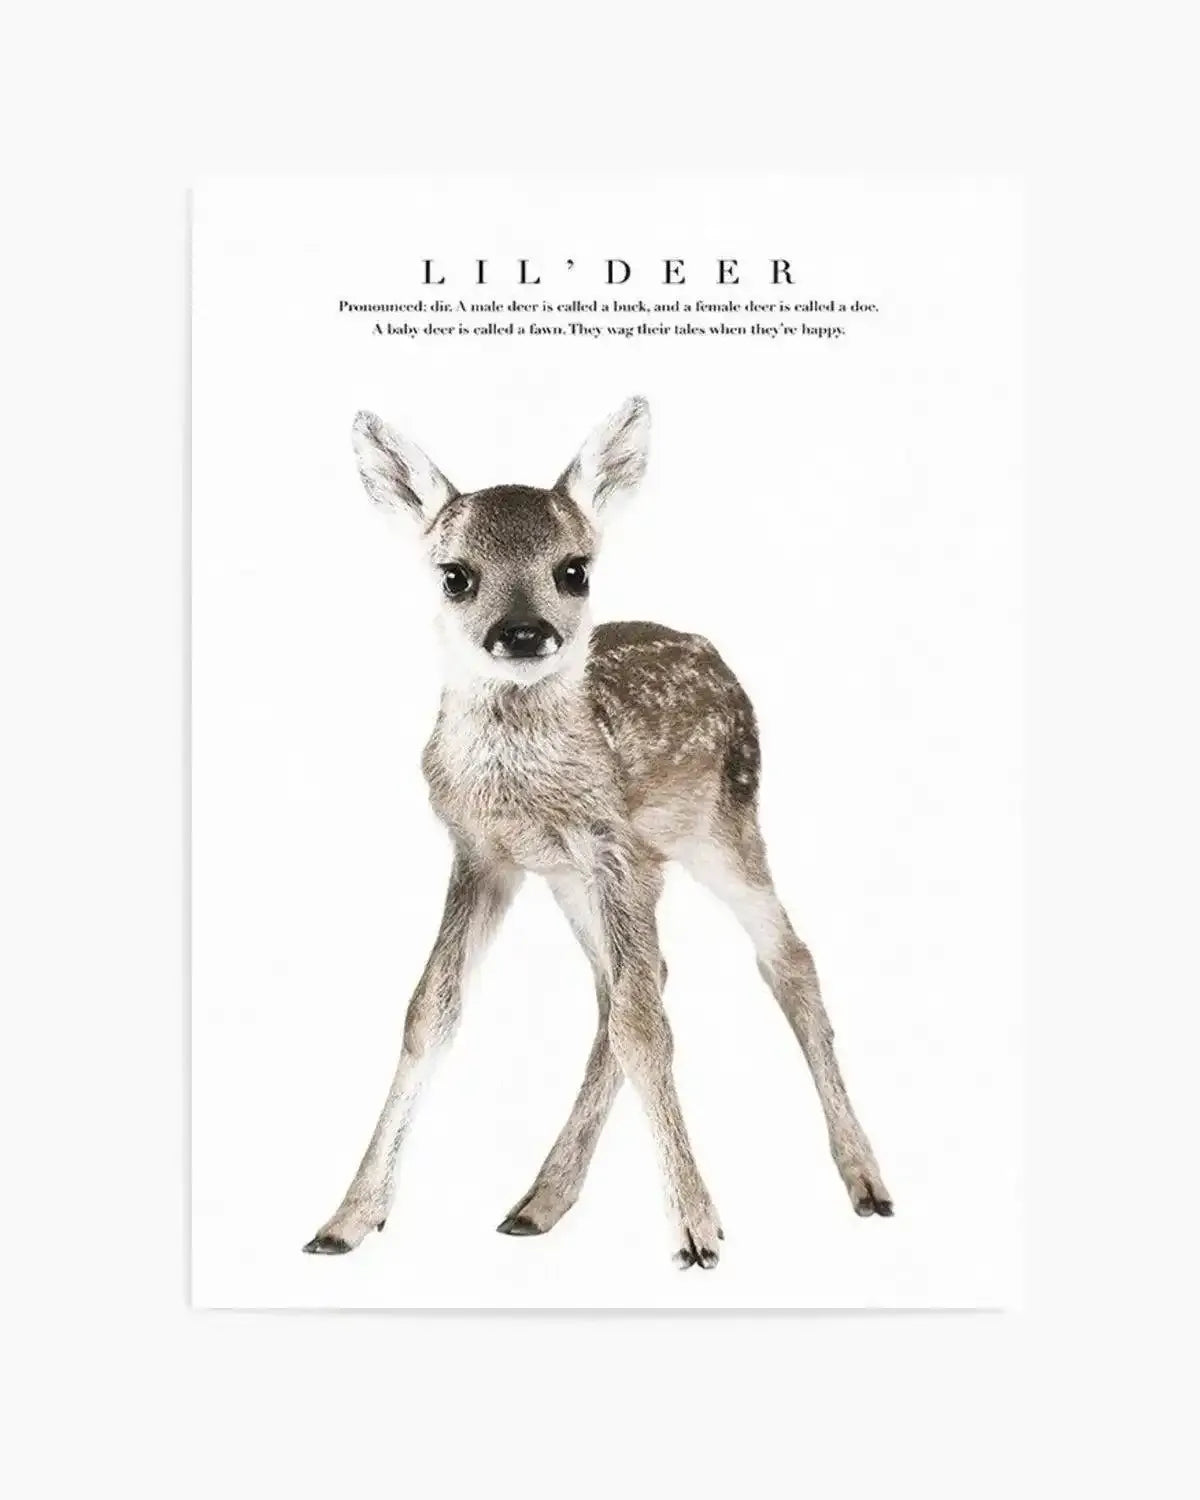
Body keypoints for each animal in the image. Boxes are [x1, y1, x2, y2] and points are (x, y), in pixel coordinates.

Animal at [303, 396, 891, 1269]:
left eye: (574, 569)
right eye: (455, 575)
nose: (523, 633)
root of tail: (712, 650)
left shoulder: (613, 846)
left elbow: (645, 1026)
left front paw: (697, 1231)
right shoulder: (485, 854)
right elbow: (430, 1011)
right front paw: (347, 1218)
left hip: (723, 827)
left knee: (785, 961)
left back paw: (866, 1182)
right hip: (585, 879)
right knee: (631, 986)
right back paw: (540, 1201)